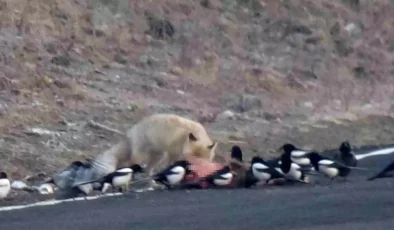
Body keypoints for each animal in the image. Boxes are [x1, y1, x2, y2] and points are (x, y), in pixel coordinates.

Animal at [71, 113, 219, 192]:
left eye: (201, 160)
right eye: (191, 158)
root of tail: (131, 132)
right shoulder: (173, 153)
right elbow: (173, 167)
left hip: (157, 156)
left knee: (147, 170)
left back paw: (151, 183)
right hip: (141, 157)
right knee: (127, 166)